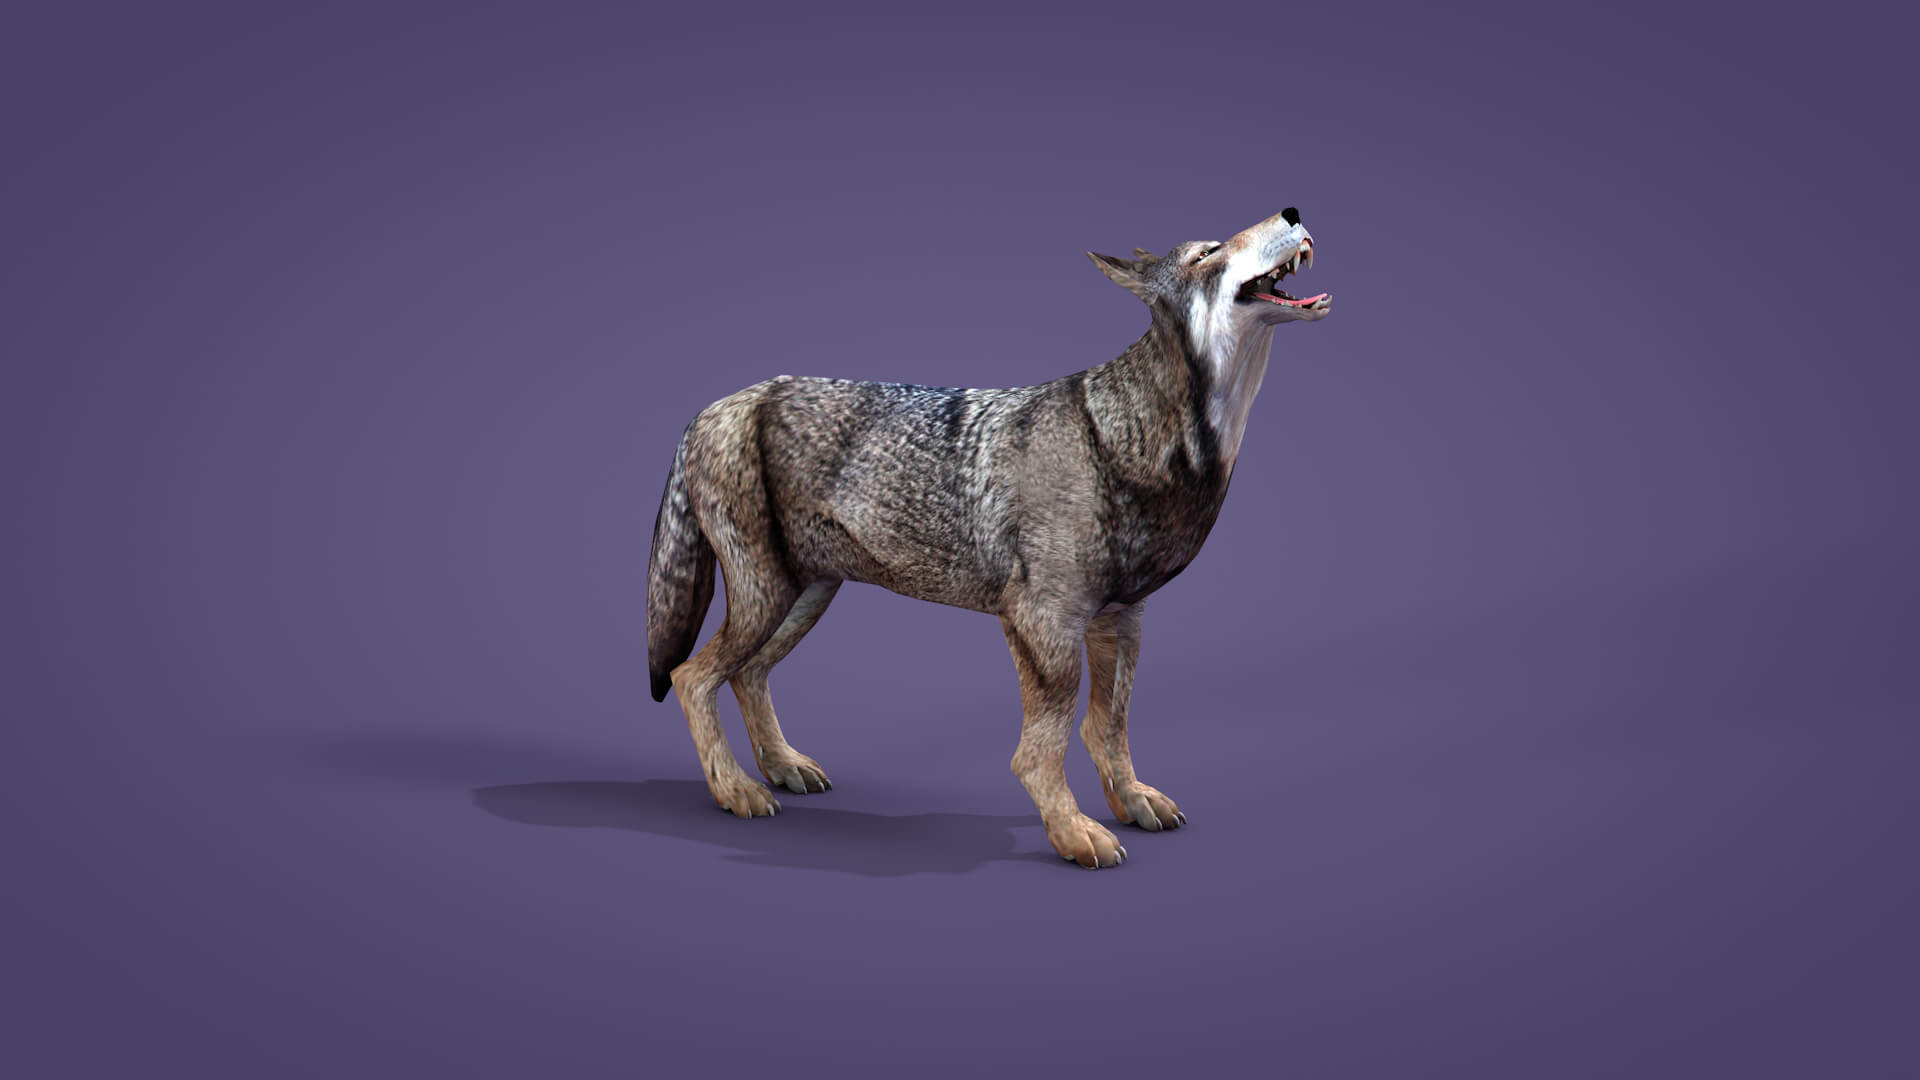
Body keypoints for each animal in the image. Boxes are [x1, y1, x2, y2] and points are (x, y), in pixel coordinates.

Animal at [645, 207, 1330, 868]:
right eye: (1208, 252)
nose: (1293, 210)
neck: (1133, 439)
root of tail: (713, 407)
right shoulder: (1039, 621)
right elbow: (1040, 752)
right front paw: (1071, 832)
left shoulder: (1122, 617)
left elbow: (1109, 728)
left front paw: (1129, 800)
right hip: (768, 597)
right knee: (690, 677)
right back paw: (736, 789)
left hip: (804, 597)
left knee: (746, 676)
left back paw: (782, 766)